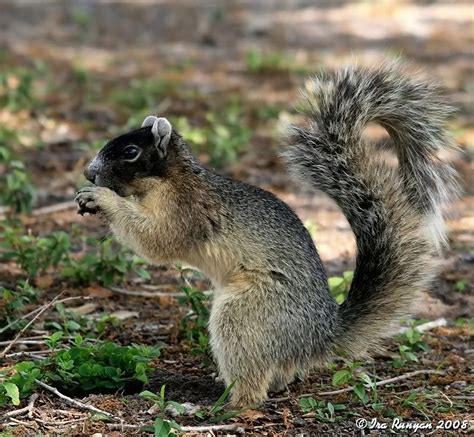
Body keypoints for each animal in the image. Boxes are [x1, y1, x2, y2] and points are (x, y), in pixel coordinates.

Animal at [75, 63, 460, 406]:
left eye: (130, 152)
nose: (89, 172)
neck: (166, 179)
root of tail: (320, 335)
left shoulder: (186, 209)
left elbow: (157, 239)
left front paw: (101, 199)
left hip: (250, 315)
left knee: (252, 382)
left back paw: (223, 404)